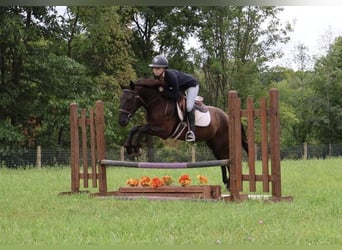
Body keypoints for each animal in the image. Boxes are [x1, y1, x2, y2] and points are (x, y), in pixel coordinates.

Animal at [119, 78, 247, 189]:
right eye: (121, 99)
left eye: (129, 99)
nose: (122, 121)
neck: (157, 104)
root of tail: (228, 116)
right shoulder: (152, 125)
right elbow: (135, 128)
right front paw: (128, 147)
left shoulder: (163, 131)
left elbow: (141, 129)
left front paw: (136, 147)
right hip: (213, 144)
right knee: (222, 161)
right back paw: (226, 182)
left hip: (222, 144)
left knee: (226, 159)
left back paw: (230, 184)